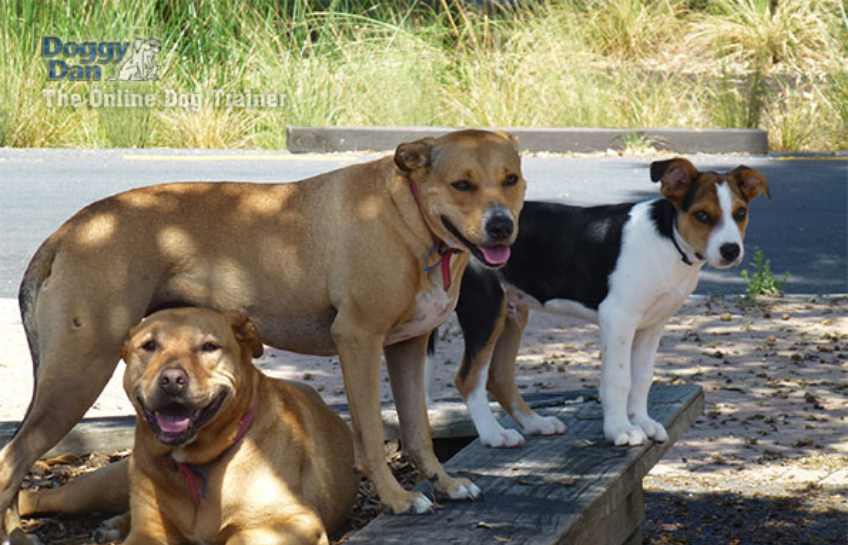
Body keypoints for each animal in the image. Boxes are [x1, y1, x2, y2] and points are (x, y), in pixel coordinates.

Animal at [19, 308, 358, 544]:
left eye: (209, 347)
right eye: (149, 345)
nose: (172, 380)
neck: (197, 464)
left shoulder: (291, 522)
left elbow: (238, 535)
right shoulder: (148, 531)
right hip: (103, 483)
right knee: (43, 496)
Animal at [450, 156, 768, 446]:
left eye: (740, 213)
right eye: (702, 215)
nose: (731, 250)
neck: (667, 240)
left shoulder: (652, 324)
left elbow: (642, 378)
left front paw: (642, 421)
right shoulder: (618, 318)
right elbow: (618, 379)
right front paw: (620, 429)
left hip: (513, 312)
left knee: (499, 377)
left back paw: (536, 423)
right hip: (485, 309)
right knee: (469, 378)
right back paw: (494, 434)